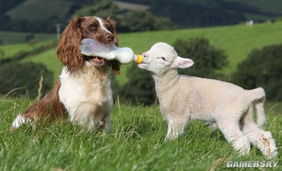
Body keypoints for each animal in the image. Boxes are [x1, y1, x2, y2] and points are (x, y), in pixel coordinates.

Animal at [138, 42, 276, 158]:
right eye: (150, 48)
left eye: (163, 58)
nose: (144, 55)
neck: (173, 84)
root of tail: (247, 94)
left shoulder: (178, 116)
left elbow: (172, 135)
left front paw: (164, 148)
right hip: (245, 117)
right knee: (262, 136)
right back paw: (271, 157)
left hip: (228, 116)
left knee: (241, 140)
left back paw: (241, 157)